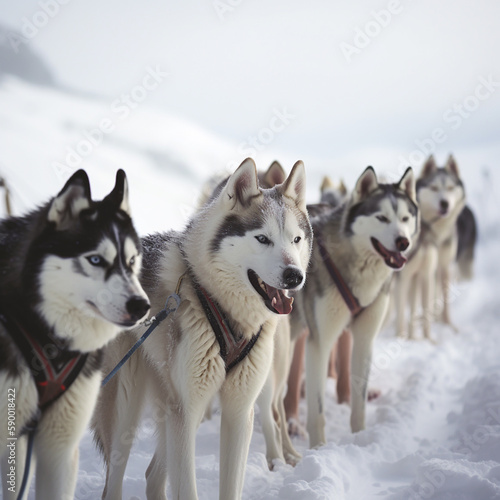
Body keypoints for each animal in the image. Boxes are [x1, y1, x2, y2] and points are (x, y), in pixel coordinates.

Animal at [93, 158, 312, 498]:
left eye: (296, 239)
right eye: (262, 238)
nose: (294, 276)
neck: (227, 310)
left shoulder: (238, 412)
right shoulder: (186, 408)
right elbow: (187, 488)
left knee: (152, 474)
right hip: (128, 409)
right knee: (113, 483)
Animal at [292, 166, 420, 448]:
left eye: (405, 218)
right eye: (381, 217)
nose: (403, 242)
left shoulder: (364, 339)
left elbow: (359, 401)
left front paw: (359, 438)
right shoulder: (319, 344)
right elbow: (318, 412)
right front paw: (318, 449)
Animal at [396, 156, 466, 340]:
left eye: (450, 188)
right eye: (434, 188)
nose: (444, 203)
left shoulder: (433, 270)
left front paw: (430, 338)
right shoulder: (405, 276)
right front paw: (401, 338)